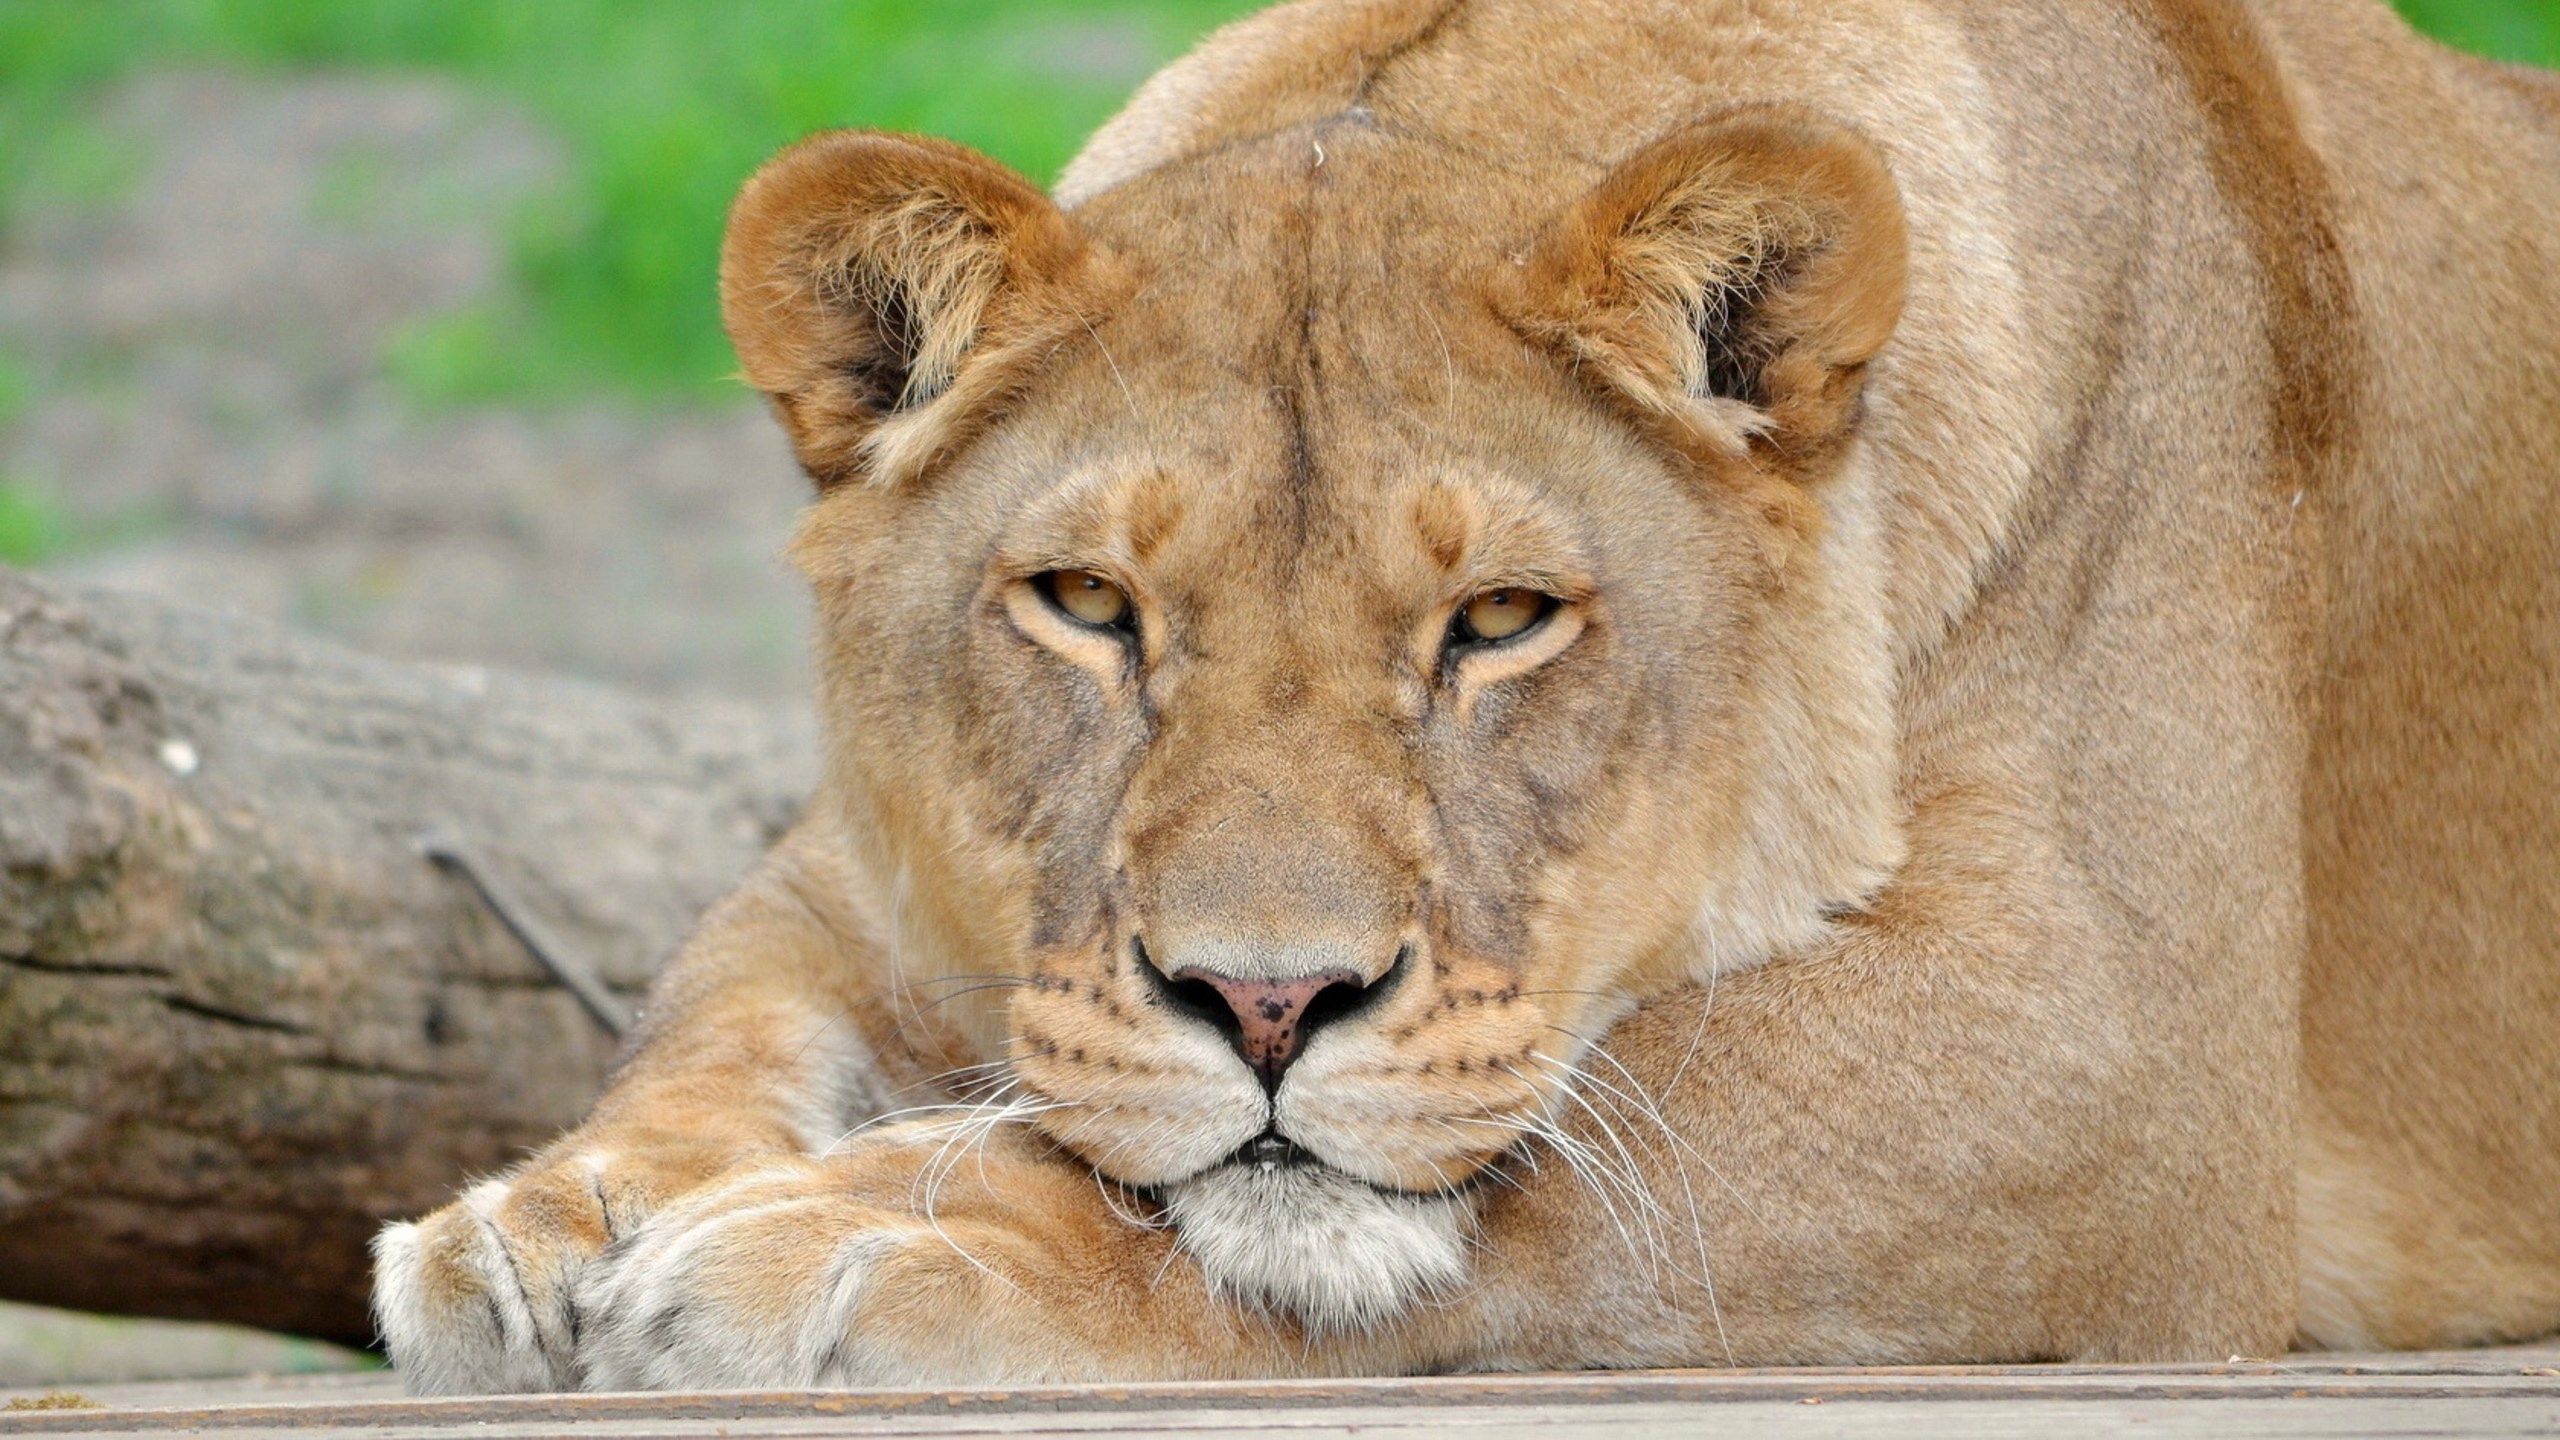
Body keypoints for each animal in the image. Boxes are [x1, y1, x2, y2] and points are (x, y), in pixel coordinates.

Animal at [371, 0, 2560, 1391]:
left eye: (1500, 622)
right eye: (1085, 605)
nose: (1266, 1004)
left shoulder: (2112, 1053)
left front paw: (866, 1234)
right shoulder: (875, 870)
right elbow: (723, 1004)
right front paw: (547, 1219)